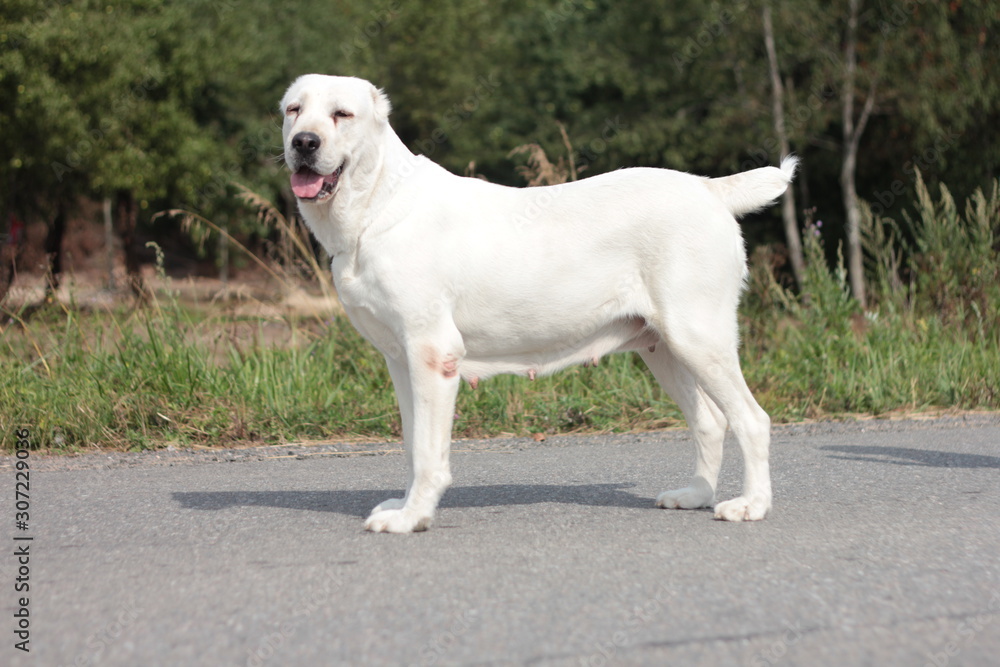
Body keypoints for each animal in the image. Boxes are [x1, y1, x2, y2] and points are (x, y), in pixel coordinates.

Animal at [282, 74, 796, 532]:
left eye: (342, 114)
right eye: (293, 110)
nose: (304, 142)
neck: (376, 203)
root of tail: (709, 188)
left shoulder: (432, 353)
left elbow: (428, 453)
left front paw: (412, 519)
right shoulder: (400, 360)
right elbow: (411, 445)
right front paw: (407, 505)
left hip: (697, 337)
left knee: (752, 419)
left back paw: (751, 505)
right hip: (664, 349)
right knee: (710, 421)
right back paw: (695, 495)